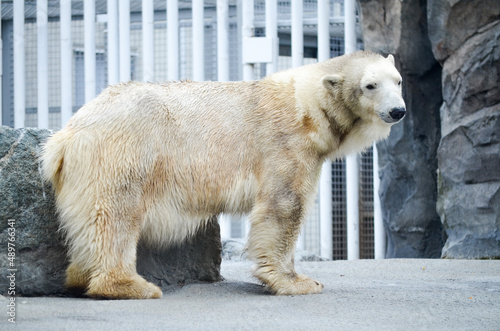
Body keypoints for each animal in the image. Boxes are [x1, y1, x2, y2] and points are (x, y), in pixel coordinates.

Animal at [41, 50, 404, 300]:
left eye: (398, 80)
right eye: (370, 85)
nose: (397, 111)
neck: (306, 106)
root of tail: (66, 135)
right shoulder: (284, 144)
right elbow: (283, 206)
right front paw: (297, 282)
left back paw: (80, 277)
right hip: (124, 152)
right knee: (114, 215)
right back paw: (131, 285)